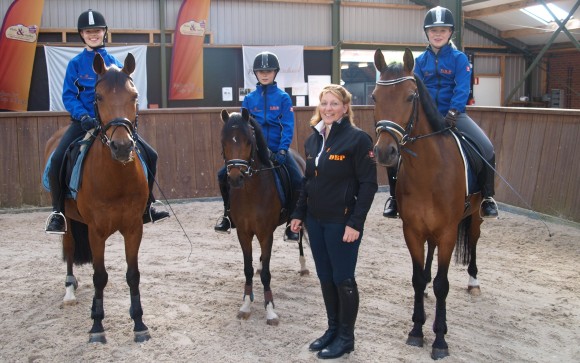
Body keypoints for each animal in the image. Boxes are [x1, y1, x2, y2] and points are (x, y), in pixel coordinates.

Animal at [44, 53, 152, 344]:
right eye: (99, 96)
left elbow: (133, 275)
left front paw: (139, 324)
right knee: (70, 250)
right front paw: (97, 327)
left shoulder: (133, 228)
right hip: (68, 221)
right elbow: (99, 276)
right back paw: (69, 291)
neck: (116, 179)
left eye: (134, 96)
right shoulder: (96, 231)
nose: (122, 147)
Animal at [219, 109, 308, 328]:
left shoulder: (266, 233)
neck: (250, 191)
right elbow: (248, 269)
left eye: (248, 141)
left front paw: (270, 311)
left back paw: (303, 266)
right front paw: (245, 305)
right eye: (223, 141)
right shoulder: (244, 234)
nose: (235, 178)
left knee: (300, 236)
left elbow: (268, 274)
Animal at [372, 49, 484, 362]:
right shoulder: (411, 230)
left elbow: (442, 285)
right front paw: (416, 330)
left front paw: (440, 340)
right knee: (428, 257)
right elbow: (418, 279)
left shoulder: (447, 233)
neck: (429, 170)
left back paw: (473, 282)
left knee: (473, 239)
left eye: (411, 97)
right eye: (374, 97)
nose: (385, 152)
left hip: (476, 214)